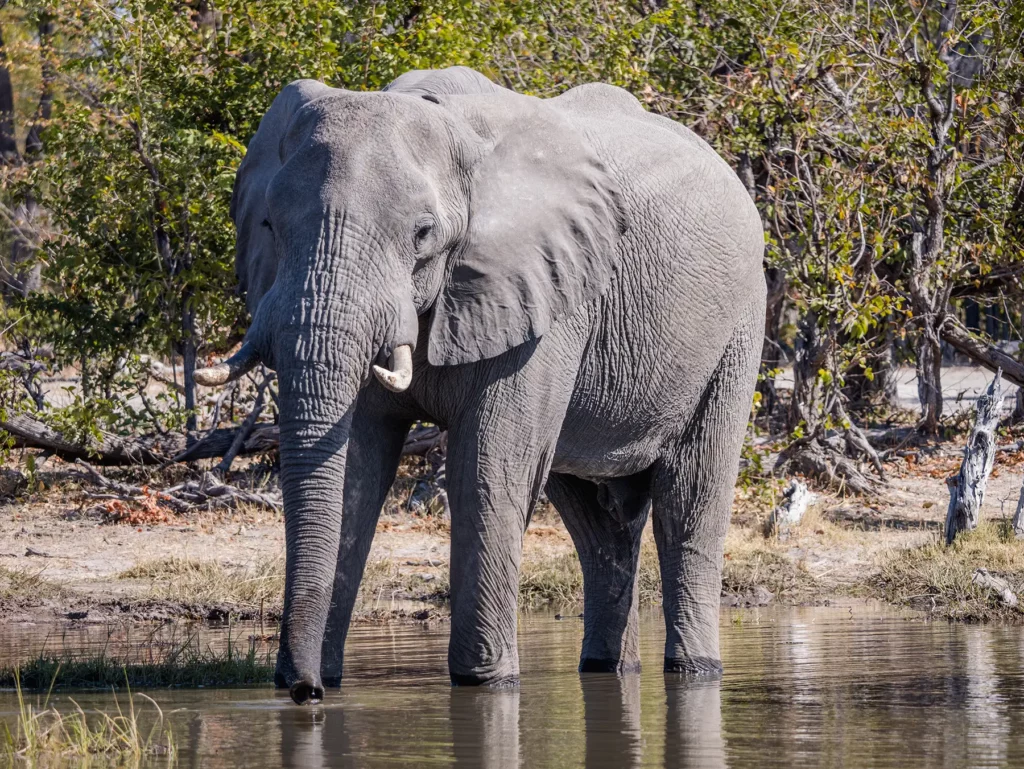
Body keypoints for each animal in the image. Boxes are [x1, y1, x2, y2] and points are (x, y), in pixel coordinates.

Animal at [195, 66, 766, 705]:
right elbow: (356, 469)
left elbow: (488, 469)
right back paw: (605, 667)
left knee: (688, 498)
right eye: (269, 225)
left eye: (422, 234)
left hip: (737, 324)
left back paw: (694, 669)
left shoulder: (545, 298)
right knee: (595, 520)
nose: (304, 691)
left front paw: (486, 684)